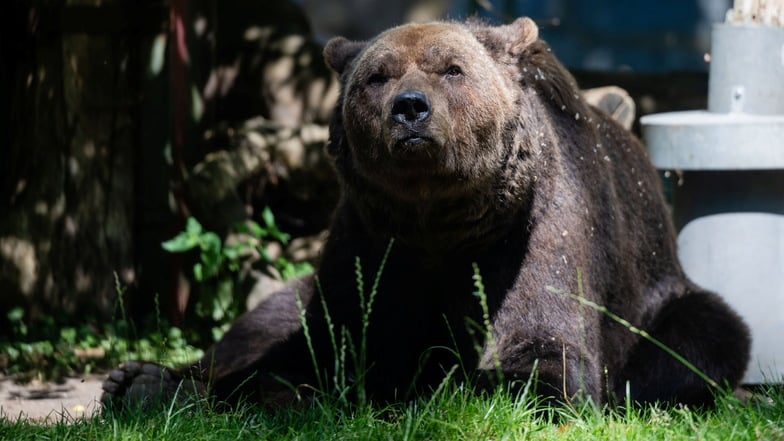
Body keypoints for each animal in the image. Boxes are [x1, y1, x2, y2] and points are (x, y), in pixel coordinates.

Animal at [101, 18, 752, 410]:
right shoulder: (370, 236)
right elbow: (327, 338)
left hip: (663, 298)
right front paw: (158, 383)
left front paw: (444, 380)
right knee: (264, 320)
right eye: (378, 76)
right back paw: (136, 378)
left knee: (701, 339)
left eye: (451, 69)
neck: (442, 223)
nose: (410, 109)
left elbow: (543, 354)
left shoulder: (544, 227)